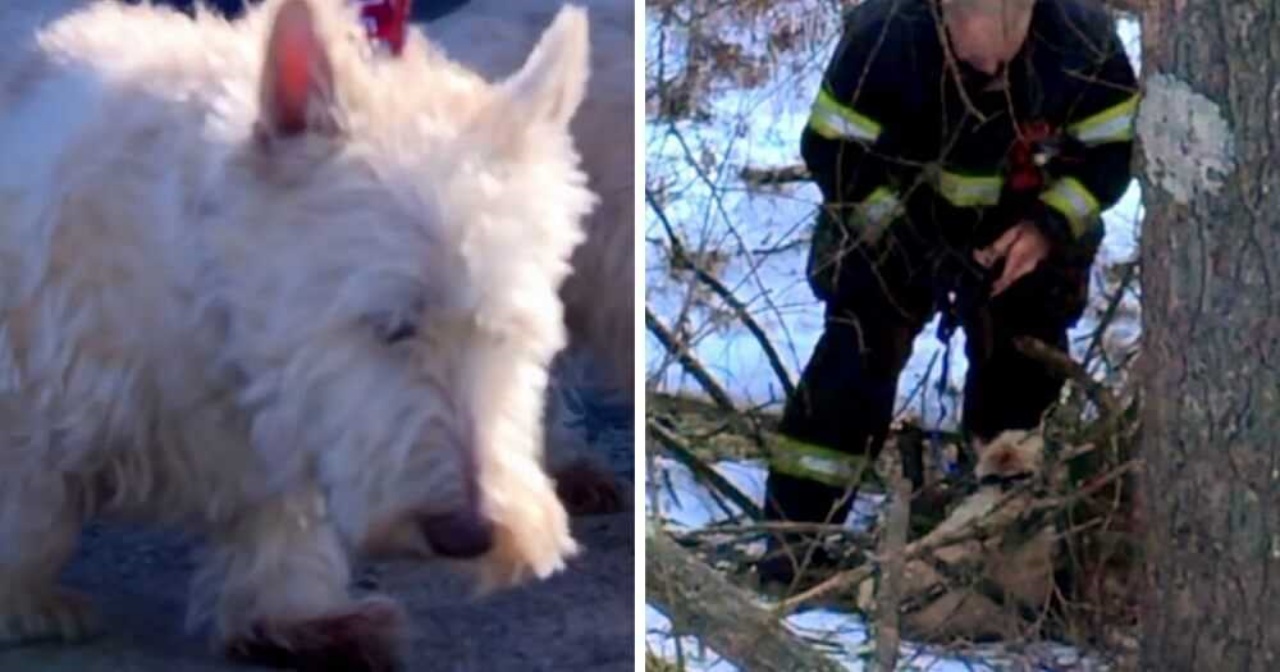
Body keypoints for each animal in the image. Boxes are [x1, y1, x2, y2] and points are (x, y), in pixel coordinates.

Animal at [0, 0, 591, 665]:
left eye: (507, 335)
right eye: (390, 325)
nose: (467, 534)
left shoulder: (285, 413)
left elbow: (278, 521)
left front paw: (296, 617)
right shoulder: (32, 377)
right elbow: (31, 506)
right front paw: (27, 601)